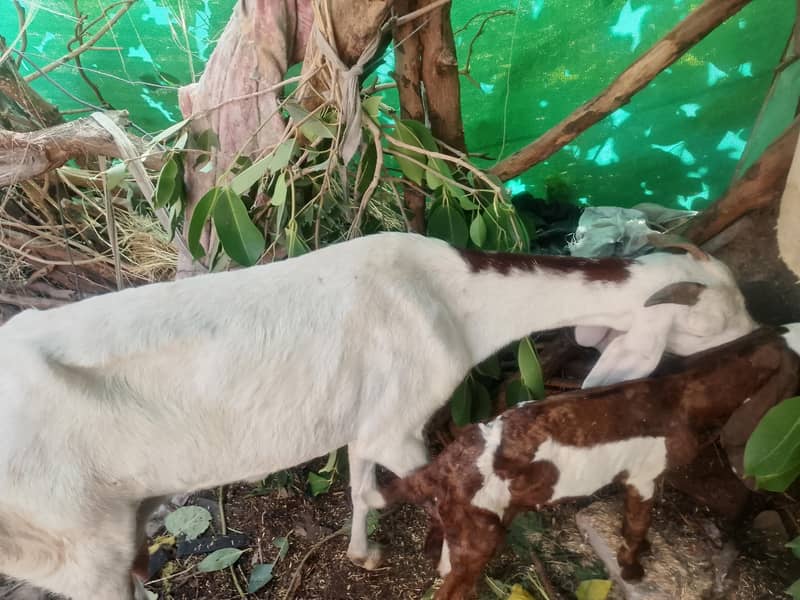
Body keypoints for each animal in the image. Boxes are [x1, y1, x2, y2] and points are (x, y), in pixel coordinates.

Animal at [0, 231, 754, 599]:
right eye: (718, 317)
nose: (765, 332)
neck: (454, 297)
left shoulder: (370, 417)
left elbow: (362, 488)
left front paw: (363, 555)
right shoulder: (402, 422)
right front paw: (450, 568)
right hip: (76, 544)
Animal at [375, 326, 800, 600]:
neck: (681, 390)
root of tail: (442, 466)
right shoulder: (645, 475)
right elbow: (637, 523)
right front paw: (632, 569)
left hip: (456, 519)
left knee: (438, 545)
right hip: (480, 536)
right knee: (452, 588)